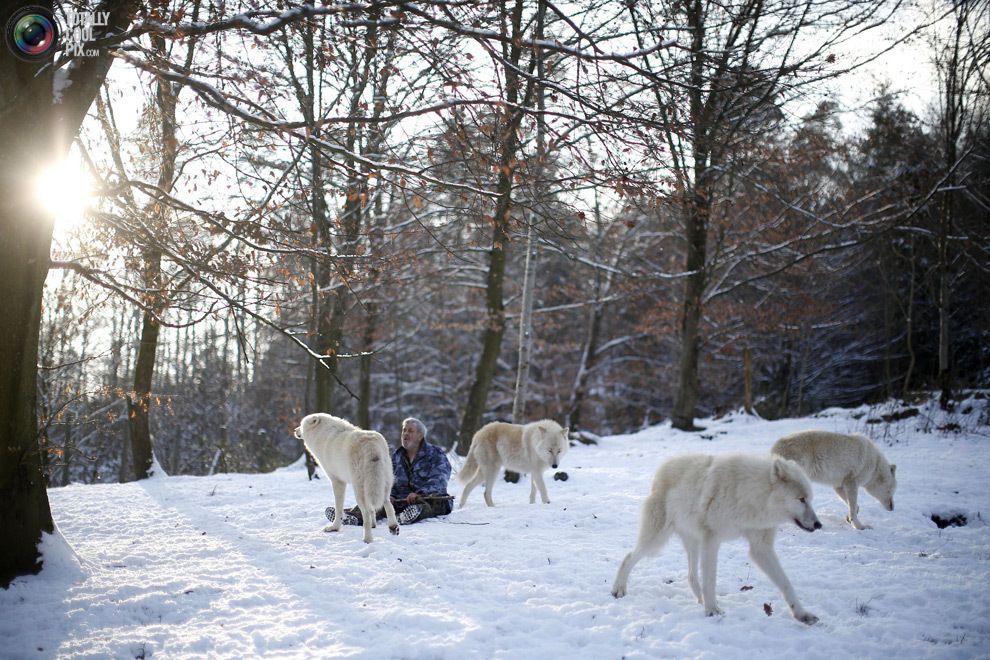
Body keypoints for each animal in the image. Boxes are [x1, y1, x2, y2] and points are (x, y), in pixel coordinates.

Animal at [294, 416, 400, 544]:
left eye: (301, 425)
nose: (295, 430)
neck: (322, 434)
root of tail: (371, 443)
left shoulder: (337, 481)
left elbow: (339, 509)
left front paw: (334, 528)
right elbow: (373, 510)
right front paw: (374, 525)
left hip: (359, 490)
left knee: (366, 513)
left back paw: (367, 539)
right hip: (382, 485)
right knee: (388, 504)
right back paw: (393, 527)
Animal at [612, 454, 820, 624]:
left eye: (810, 499)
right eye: (801, 499)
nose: (818, 524)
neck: (751, 497)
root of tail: (661, 469)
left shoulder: (761, 548)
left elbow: (786, 584)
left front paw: (802, 614)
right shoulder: (712, 540)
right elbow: (710, 579)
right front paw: (712, 610)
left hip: (693, 544)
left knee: (691, 576)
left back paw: (700, 599)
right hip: (657, 541)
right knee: (628, 557)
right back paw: (618, 589)